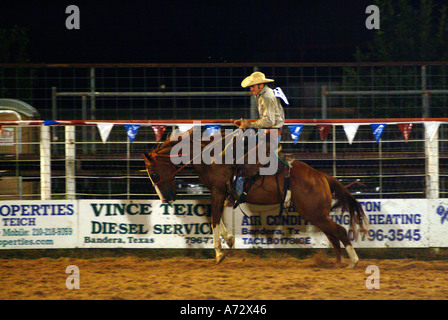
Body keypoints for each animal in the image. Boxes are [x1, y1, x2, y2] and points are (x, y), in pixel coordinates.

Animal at [144, 127, 368, 268]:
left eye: (153, 173)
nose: (165, 199)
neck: (211, 156)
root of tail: (322, 176)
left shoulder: (218, 191)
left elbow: (214, 218)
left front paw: (219, 253)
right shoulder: (222, 193)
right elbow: (217, 217)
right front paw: (230, 240)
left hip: (315, 213)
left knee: (338, 231)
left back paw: (353, 261)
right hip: (316, 214)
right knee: (332, 234)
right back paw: (338, 262)